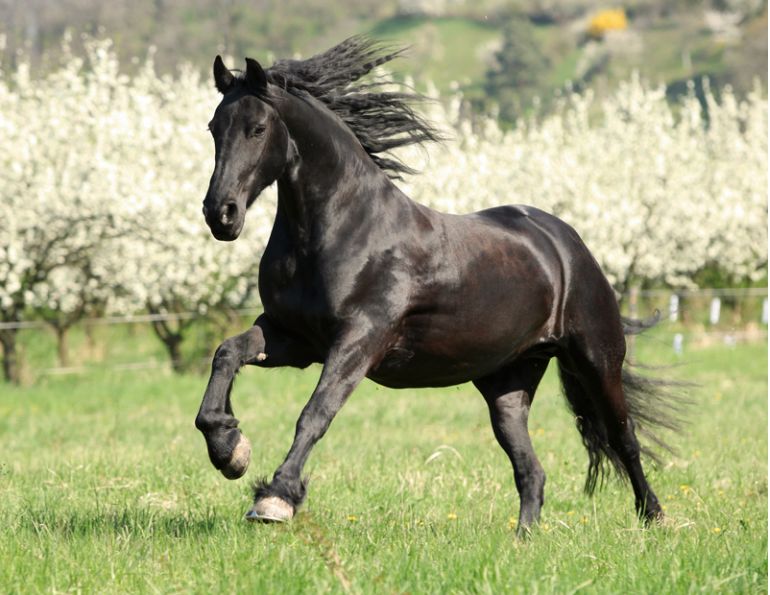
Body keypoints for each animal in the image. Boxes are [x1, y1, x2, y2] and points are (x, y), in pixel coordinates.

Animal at [194, 37, 678, 533]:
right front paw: (230, 450)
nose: (221, 214)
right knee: (531, 470)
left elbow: (316, 413)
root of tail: (566, 242)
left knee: (623, 438)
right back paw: (523, 539)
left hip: (596, 359)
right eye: (214, 128)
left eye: (257, 128)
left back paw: (655, 518)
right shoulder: (292, 337)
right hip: (507, 383)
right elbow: (226, 354)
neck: (343, 227)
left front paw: (275, 499)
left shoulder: (358, 341)